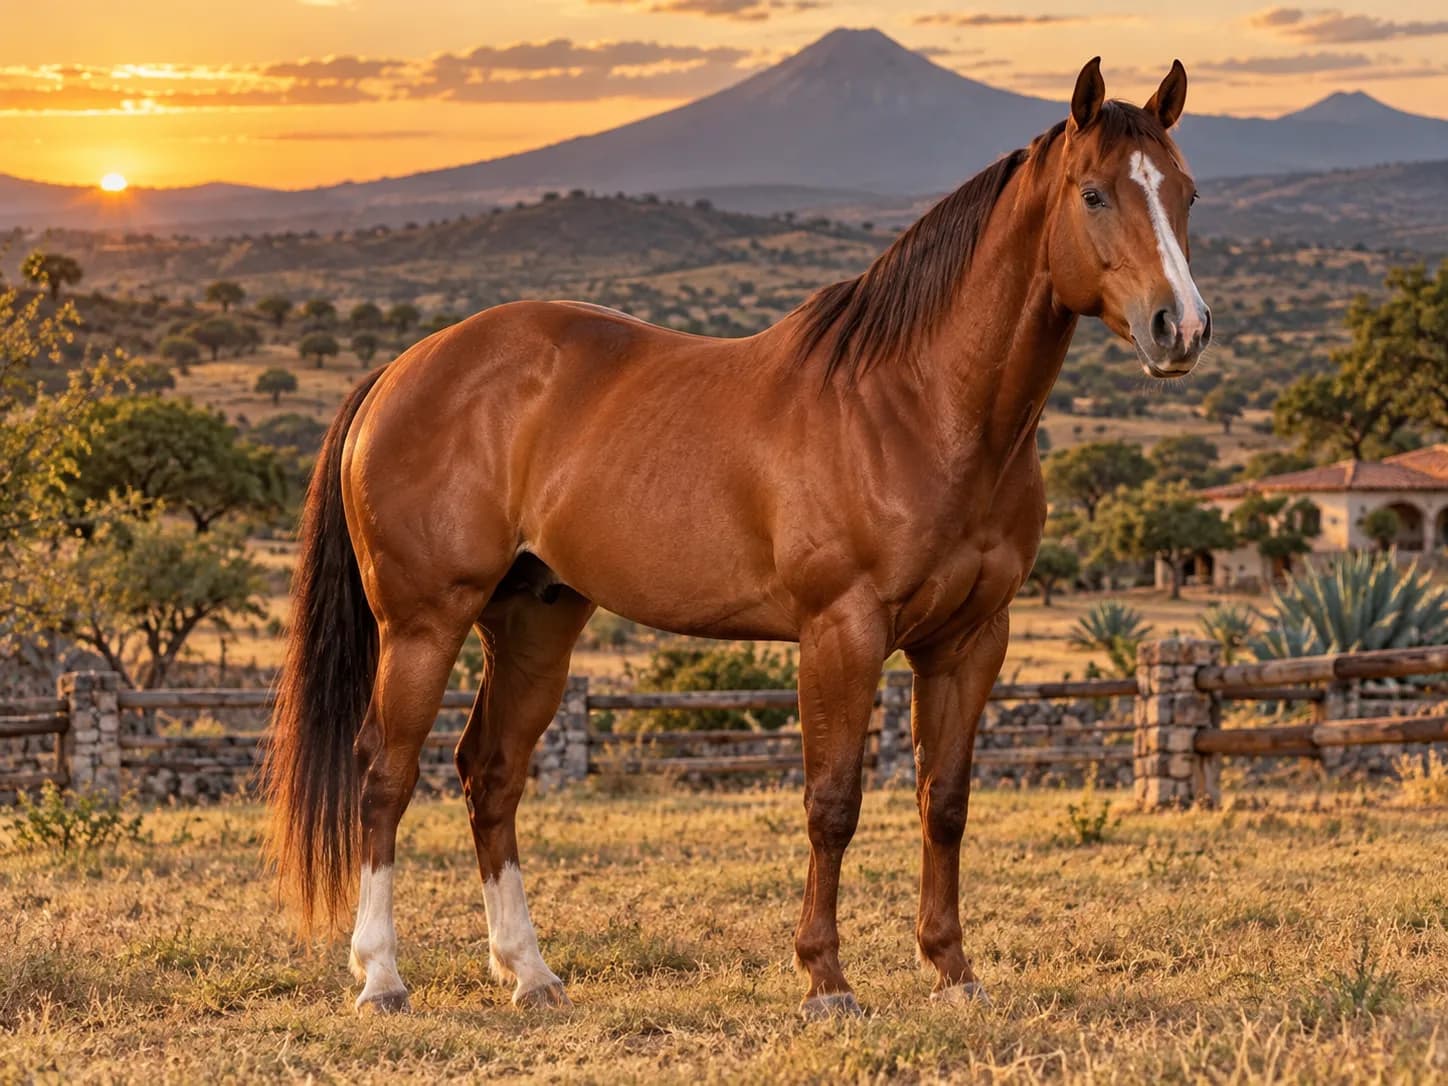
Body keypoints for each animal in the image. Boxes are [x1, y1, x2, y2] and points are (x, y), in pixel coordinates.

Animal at [262, 57, 1211, 1018]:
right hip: (423, 623)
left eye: (1186, 192)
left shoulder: (971, 639)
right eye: (1094, 193)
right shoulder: (841, 632)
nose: (1181, 328)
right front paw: (825, 980)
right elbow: (832, 803)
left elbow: (944, 800)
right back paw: (381, 977)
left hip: (534, 624)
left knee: (489, 774)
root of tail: (404, 368)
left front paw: (952, 970)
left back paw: (530, 973)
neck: (920, 408)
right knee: (384, 774)